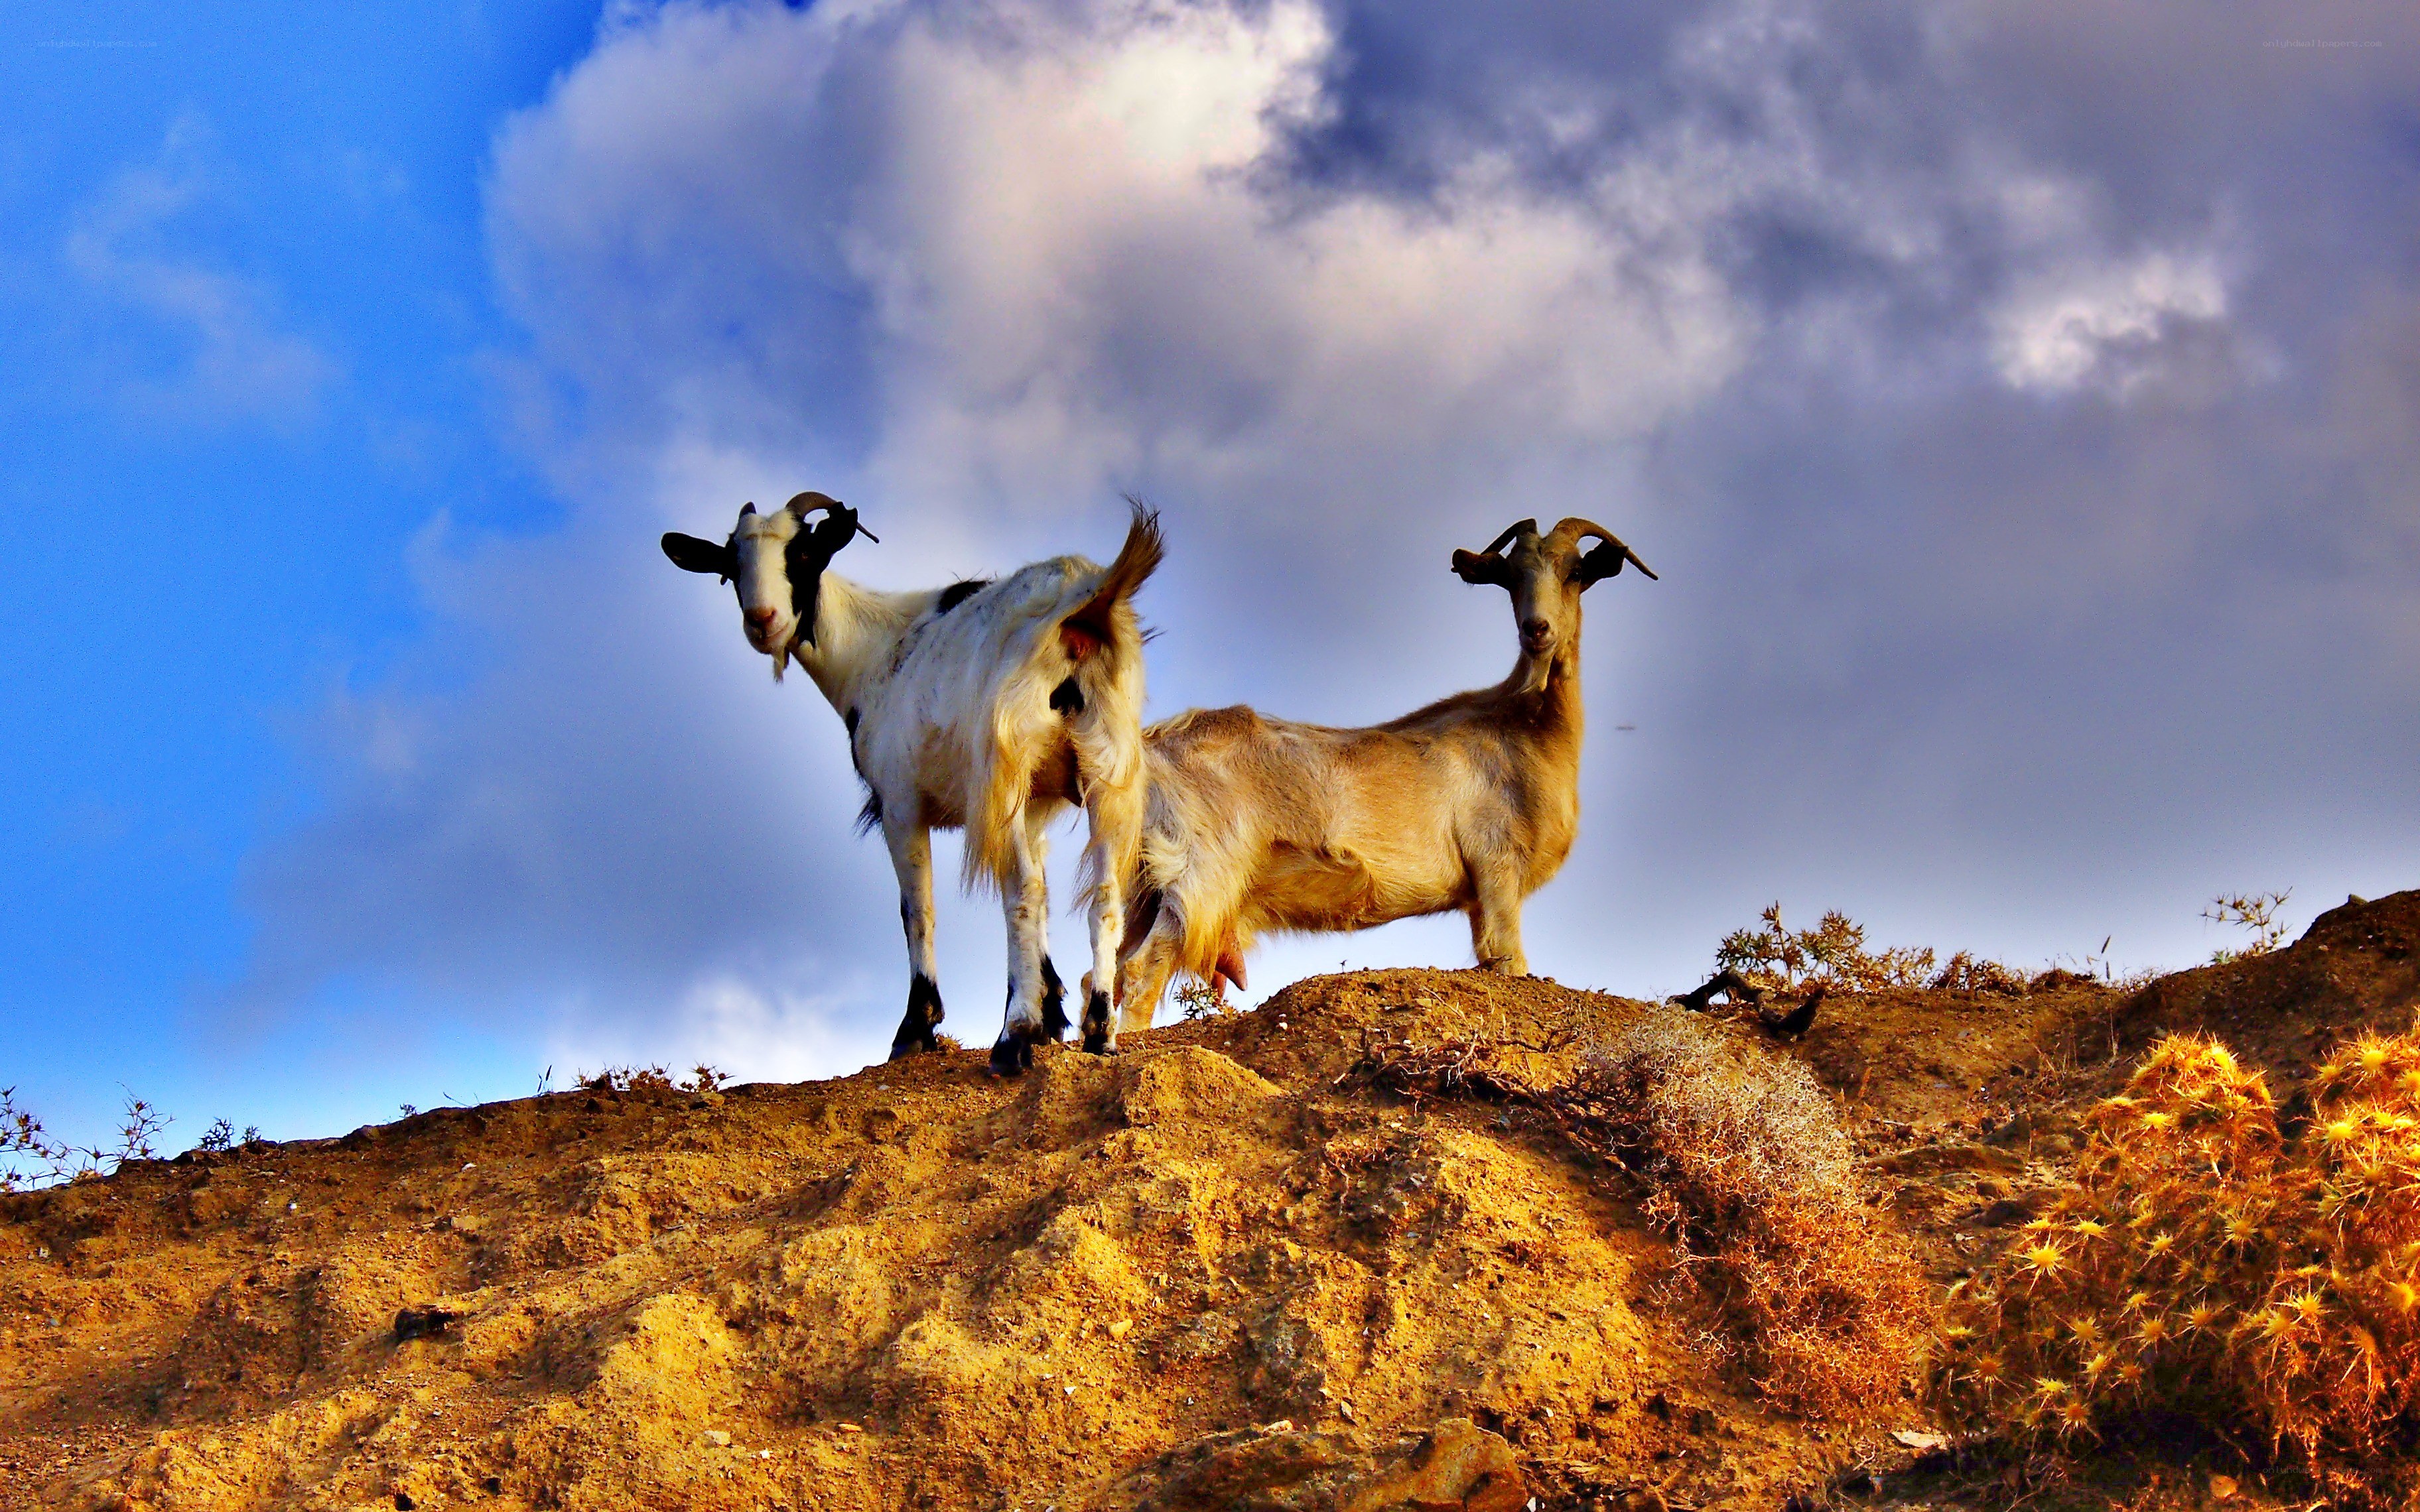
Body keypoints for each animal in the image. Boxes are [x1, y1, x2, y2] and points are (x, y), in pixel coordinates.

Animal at [663, 494, 1162, 1074]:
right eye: (729, 566)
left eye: (803, 553)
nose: (762, 621)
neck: (877, 650)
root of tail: (1086, 594)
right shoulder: (1038, 800)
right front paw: (1053, 1016)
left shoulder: (900, 802)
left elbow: (916, 908)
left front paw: (918, 1026)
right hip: (1109, 770)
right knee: (1103, 892)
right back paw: (1100, 1031)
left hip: (1006, 765)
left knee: (1023, 893)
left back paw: (1010, 1040)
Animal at [1102, 517, 1653, 1025]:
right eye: (1512, 576)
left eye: (1575, 571)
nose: (1536, 629)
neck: (1528, 729)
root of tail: (1150, 747)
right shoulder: (1497, 868)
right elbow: (1509, 962)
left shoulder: (1479, 898)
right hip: (1198, 875)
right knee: (1141, 970)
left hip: (1146, 887)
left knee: (1109, 969)